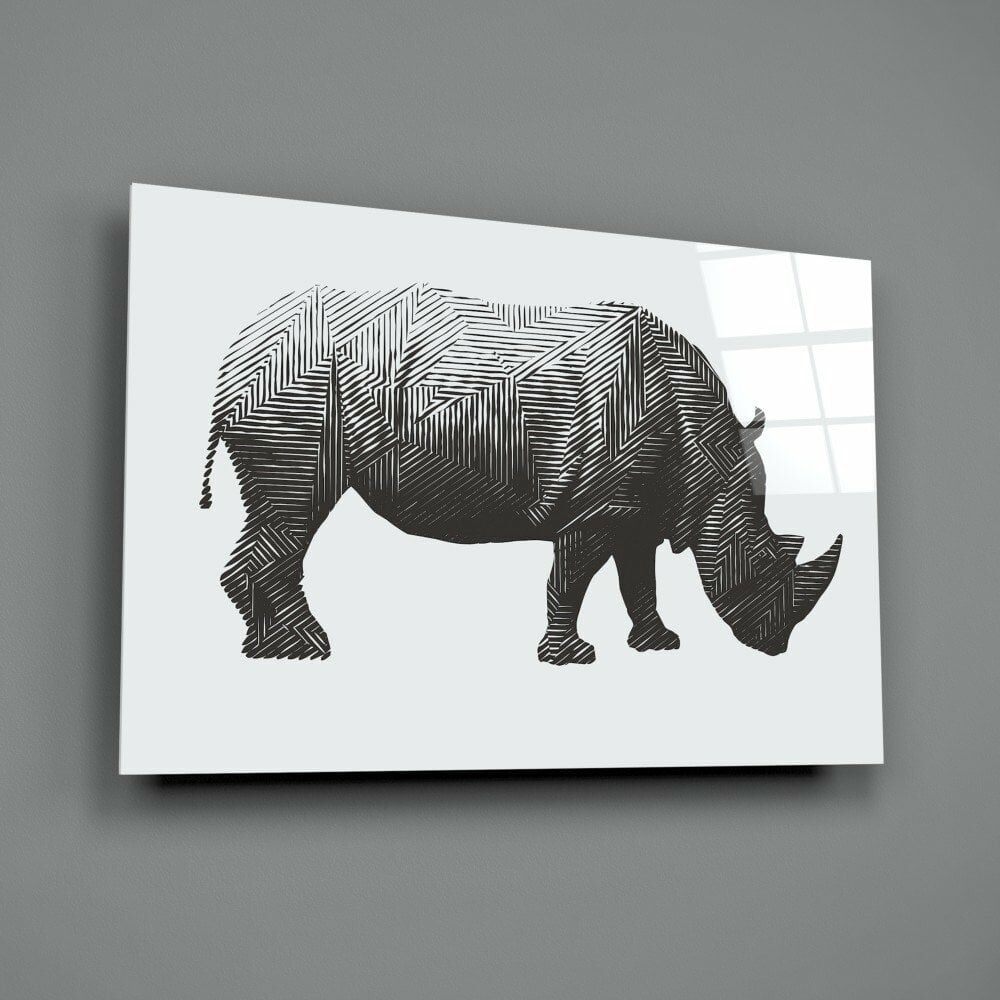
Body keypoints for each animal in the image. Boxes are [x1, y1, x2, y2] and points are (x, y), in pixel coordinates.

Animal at [200, 284, 842, 664]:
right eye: (759, 564)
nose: (777, 646)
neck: (710, 462)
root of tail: (239, 343)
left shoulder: (638, 507)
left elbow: (640, 577)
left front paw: (659, 646)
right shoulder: (594, 507)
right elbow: (571, 578)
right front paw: (571, 658)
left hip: (287, 389)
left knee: (273, 513)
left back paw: (262, 652)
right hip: (295, 396)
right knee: (294, 507)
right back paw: (310, 649)